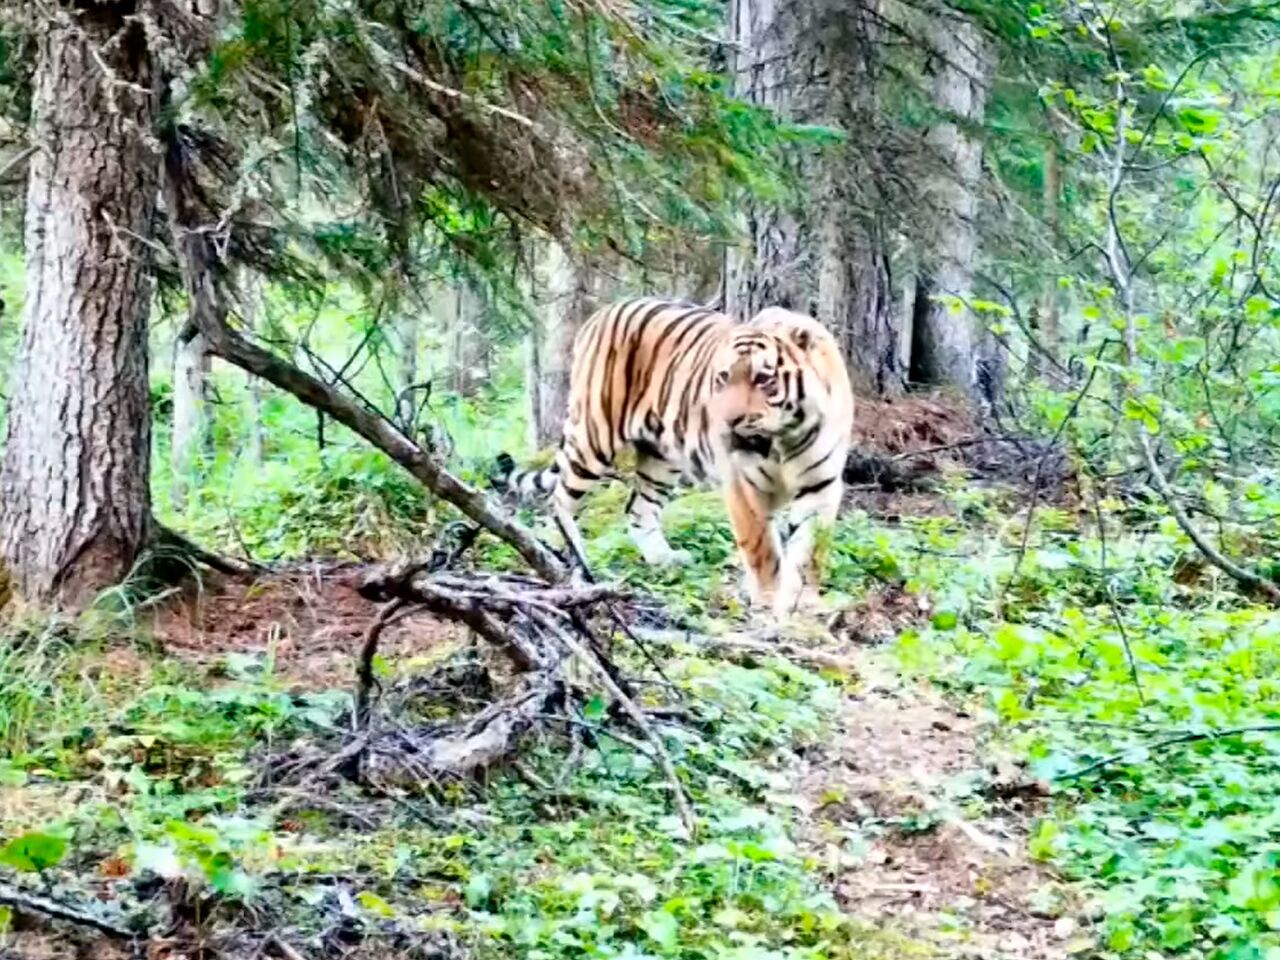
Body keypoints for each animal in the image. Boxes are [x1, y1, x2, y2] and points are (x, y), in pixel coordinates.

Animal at [494, 296, 855, 619]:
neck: (783, 437)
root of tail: (601, 314)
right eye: (723, 378)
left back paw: (664, 559)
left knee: (638, 508)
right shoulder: (742, 483)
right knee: (559, 500)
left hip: (660, 457)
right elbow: (761, 547)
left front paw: (802, 603)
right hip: (594, 436)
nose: (728, 421)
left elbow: (811, 550)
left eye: (763, 379)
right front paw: (769, 599)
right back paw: (582, 567)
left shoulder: (819, 486)